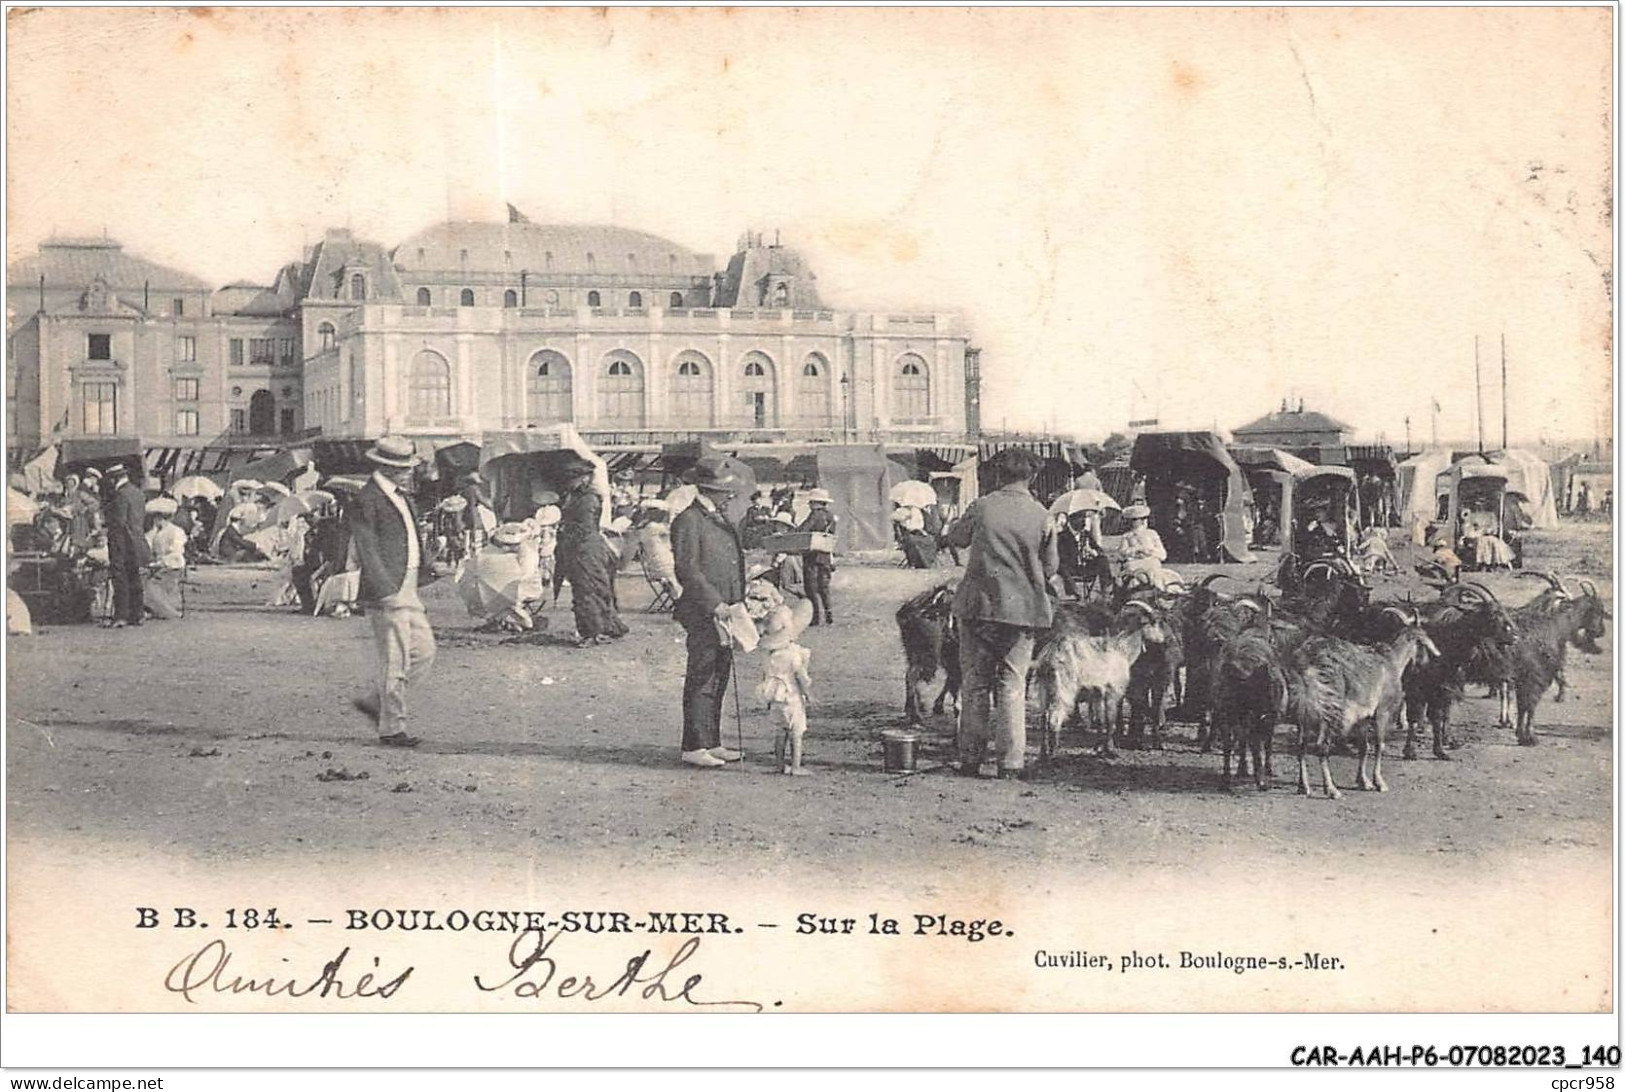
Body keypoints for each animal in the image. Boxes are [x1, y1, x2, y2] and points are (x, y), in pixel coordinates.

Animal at [897, 578, 955, 724]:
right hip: (928, 656)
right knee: (912, 676)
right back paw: (916, 715)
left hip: (913, 652)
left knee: (910, 674)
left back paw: (915, 709)